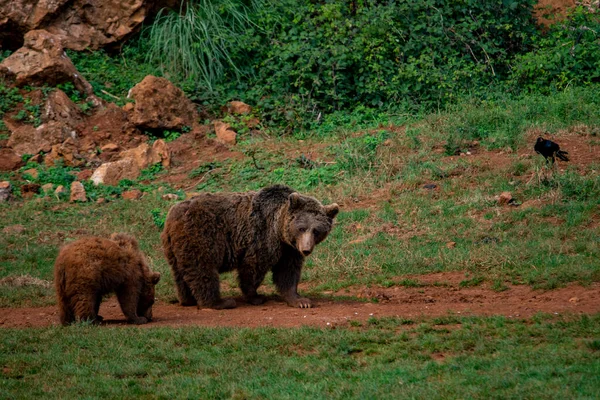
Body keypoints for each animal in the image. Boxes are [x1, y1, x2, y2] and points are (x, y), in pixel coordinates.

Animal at [161, 184, 338, 310]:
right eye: (302, 228)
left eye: (316, 230)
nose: (306, 249)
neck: (278, 231)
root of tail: (171, 216)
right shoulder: (261, 237)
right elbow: (253, 268)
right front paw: (255, 296)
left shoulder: (289, 249)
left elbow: (288, 272)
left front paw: (300, 300)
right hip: (201, 235)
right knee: (202, 269)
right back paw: (219, 302)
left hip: (174, 247)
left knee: (181, 272)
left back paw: (187, 299)